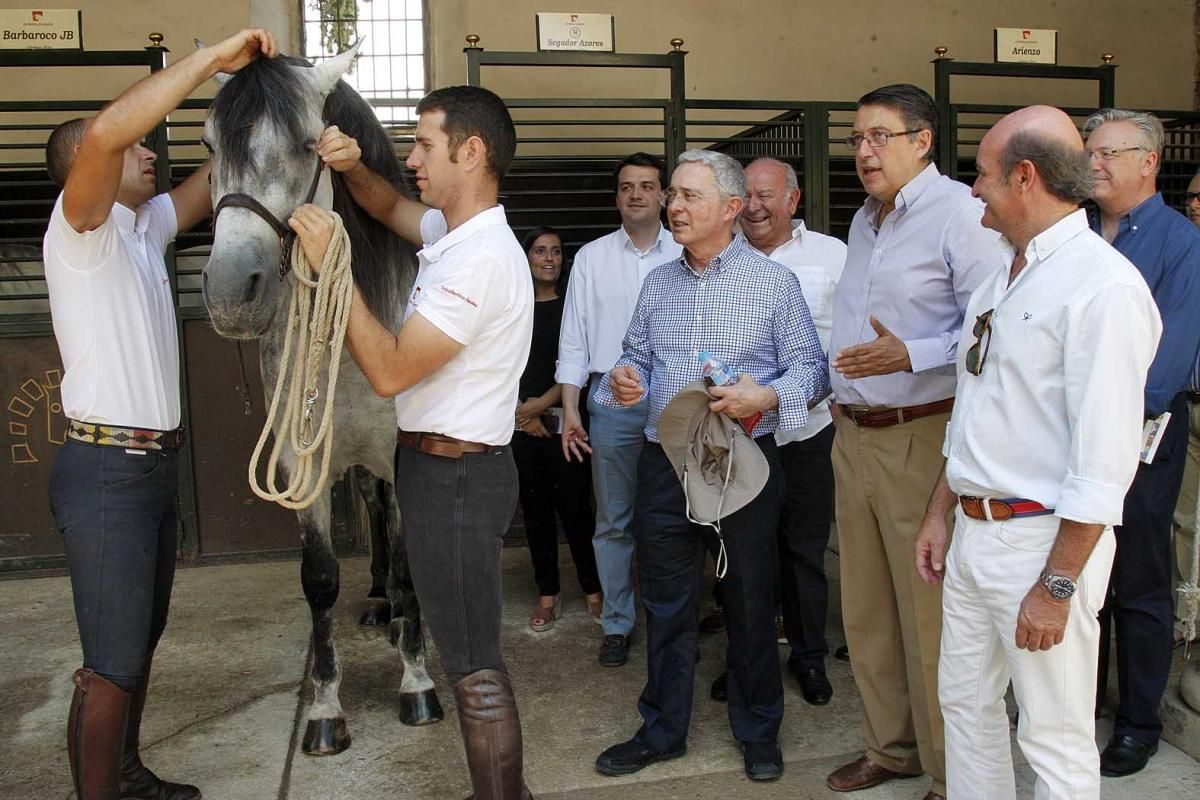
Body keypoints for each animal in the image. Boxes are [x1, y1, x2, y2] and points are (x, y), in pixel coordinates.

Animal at [199, 51, 444, 758]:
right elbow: (319, 580)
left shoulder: (401, 455)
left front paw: (417, 683)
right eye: (208, 146)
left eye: (310, 145)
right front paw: (326, 708)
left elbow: (412, 567)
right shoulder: (298, 464)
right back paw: (379, 605)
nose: (231, 293)